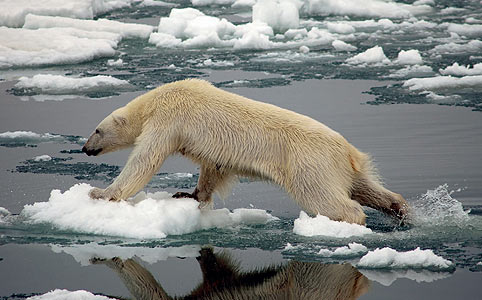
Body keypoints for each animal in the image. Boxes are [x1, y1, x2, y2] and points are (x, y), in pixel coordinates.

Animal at [84, 78, 410, 224]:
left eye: (97, 130)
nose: (85, 148)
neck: (157, 99)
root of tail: (348, 150)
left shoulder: (169, 118)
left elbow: (145, 159)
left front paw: (101, 193)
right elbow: (212, 167)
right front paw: (188, 194)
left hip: (309, 162)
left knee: (323, 195)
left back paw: (347, 220)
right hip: (342, 166)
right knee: (366, 187)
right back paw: (399, 209)